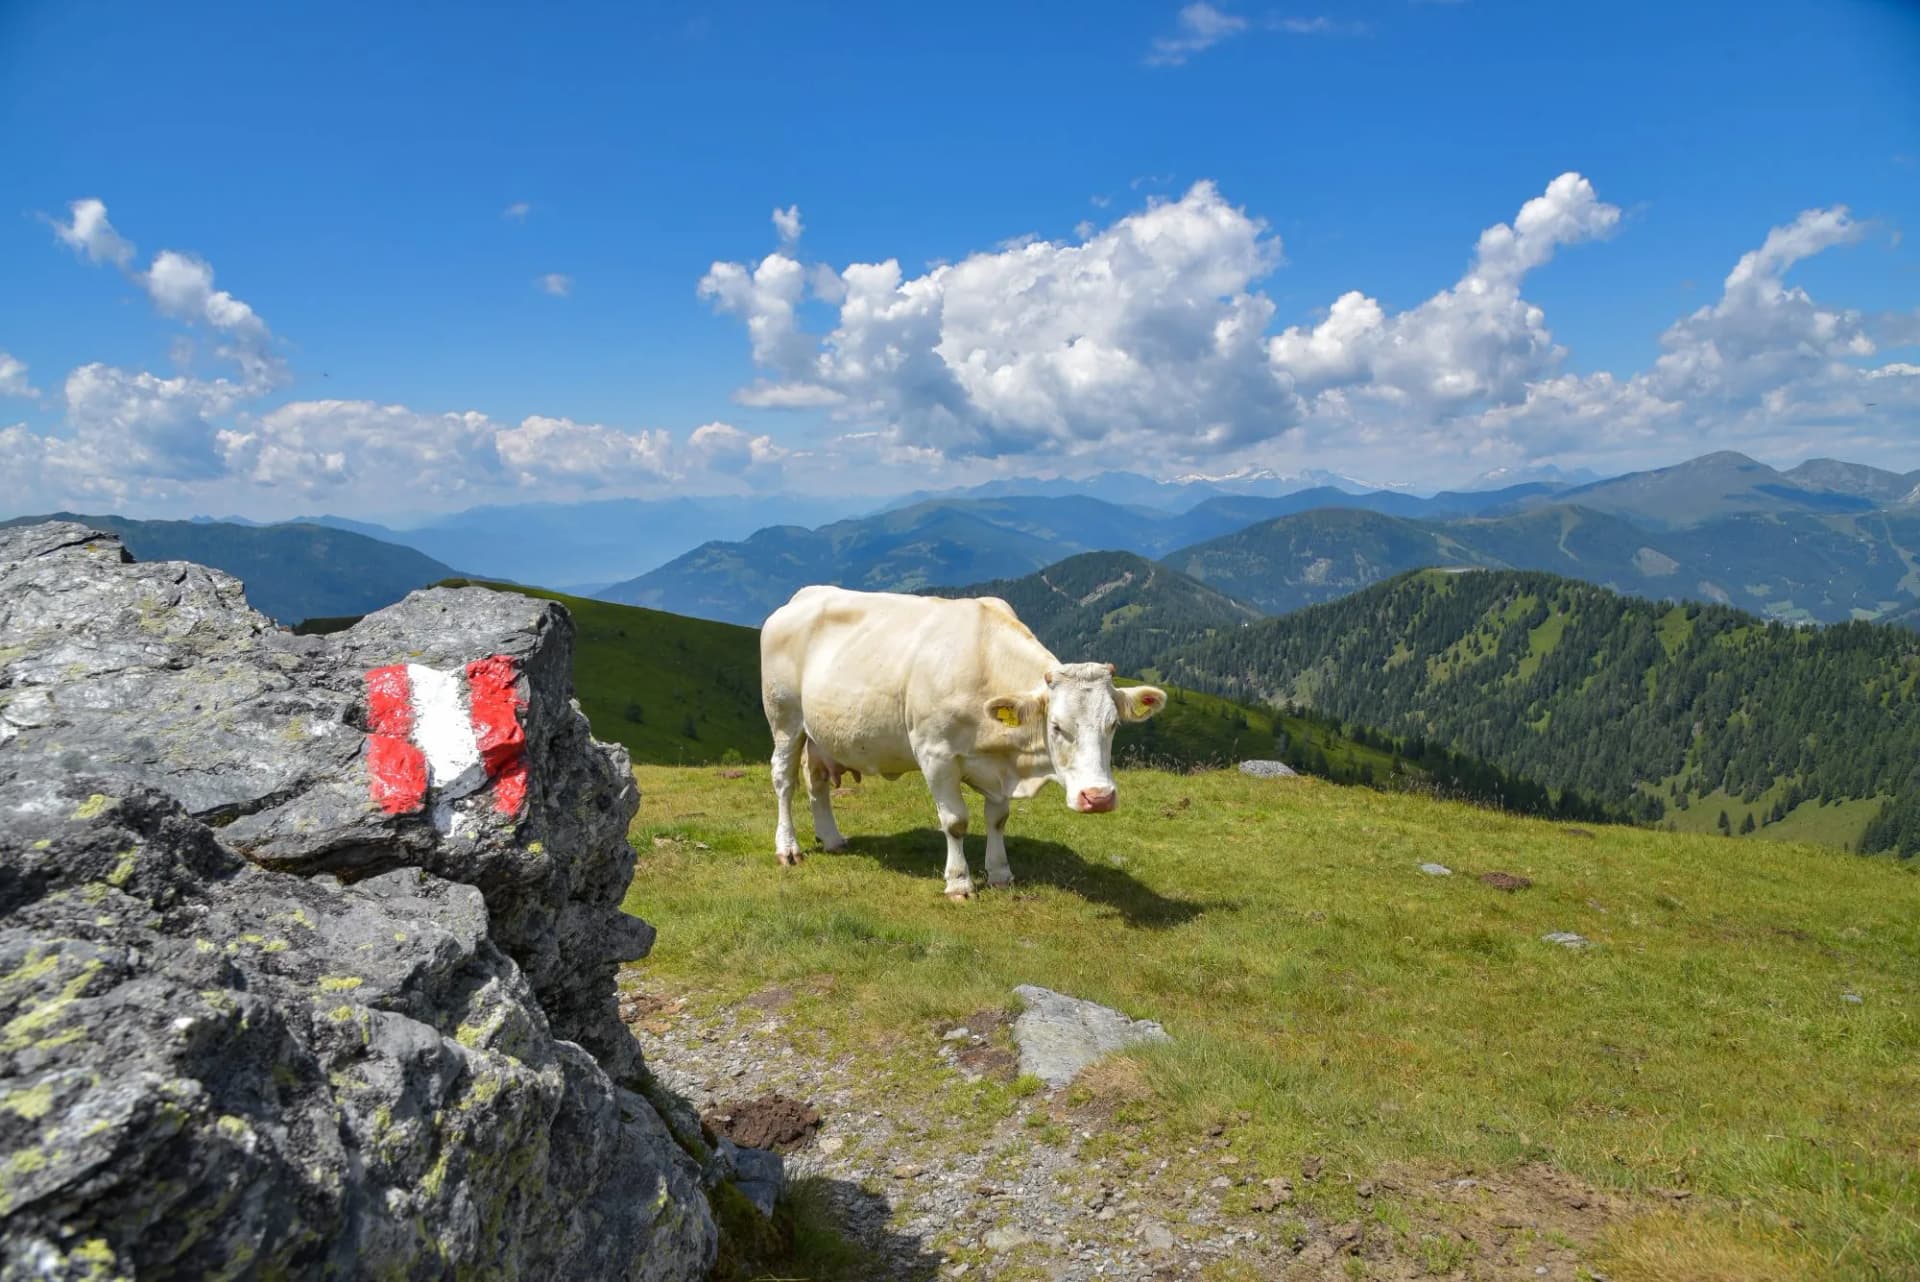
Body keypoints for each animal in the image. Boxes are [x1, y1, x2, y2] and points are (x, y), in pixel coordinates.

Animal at [759, 586, 1166, 899]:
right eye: (1056, 726)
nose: (1098, 798)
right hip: (785, 719)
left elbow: (998, 818)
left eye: (1113, 725)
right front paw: (959, 883)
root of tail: (803, 596)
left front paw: (1000, 873)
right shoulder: (935, 754)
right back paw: (788, 848)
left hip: (819, 734)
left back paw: (831, 838)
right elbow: (955, 821)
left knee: (817, 782)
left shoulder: (997, 766)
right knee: (784, 780)